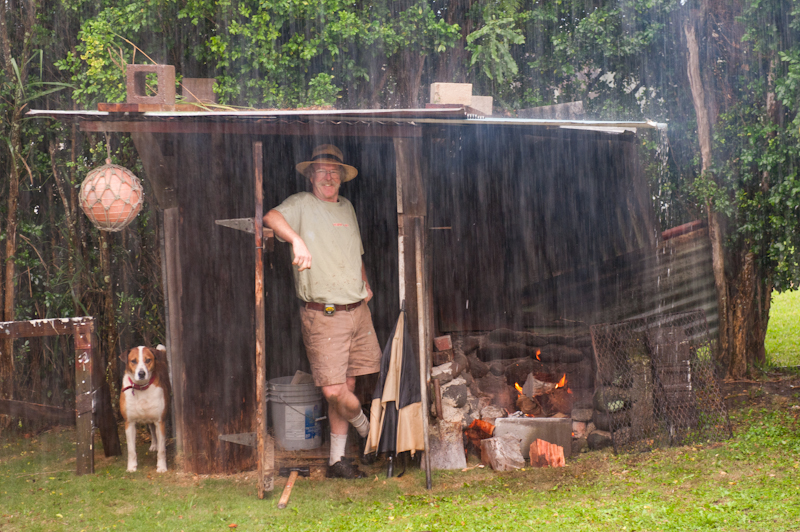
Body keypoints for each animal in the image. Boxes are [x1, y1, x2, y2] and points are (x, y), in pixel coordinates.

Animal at [119, 344, 171, 474]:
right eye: (133, 361)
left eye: (148, 360)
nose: (141, 373)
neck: (141, 388)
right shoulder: (129, 423)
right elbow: (131, 450)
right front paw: (131, 467)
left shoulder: (160, 421)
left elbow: (162, 450)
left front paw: (161, 467)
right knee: (151, 430)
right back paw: (153, 445)